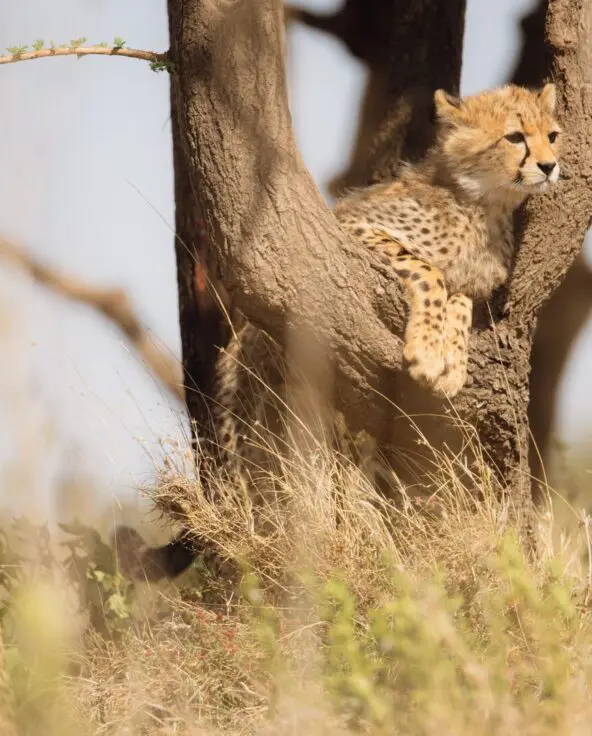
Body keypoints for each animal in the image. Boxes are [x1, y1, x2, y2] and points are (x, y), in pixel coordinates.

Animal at [114, 83, 561, 581]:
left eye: (553, 136)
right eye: (515, 137)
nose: (550, 166)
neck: (482, 203)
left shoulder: (474, 286)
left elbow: (460, 299)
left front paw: (451, 361)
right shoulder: (353, 231)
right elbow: (428, 271)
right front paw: (428, 352)